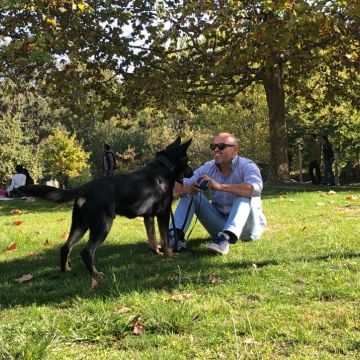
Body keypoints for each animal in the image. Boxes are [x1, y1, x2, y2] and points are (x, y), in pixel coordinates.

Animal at [20, 138, 193, 278]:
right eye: (187, 160)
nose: (192, 173)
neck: (163, 168)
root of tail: (85, 188)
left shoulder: (148, 217)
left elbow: (152, 238)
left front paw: (156, 252)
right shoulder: (163, 213)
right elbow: (164, 239)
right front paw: (169, 254)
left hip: (80, 225)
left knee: (65, 247)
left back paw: (65, 270)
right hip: (102, 226)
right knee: (86, 252)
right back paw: (95, 274)